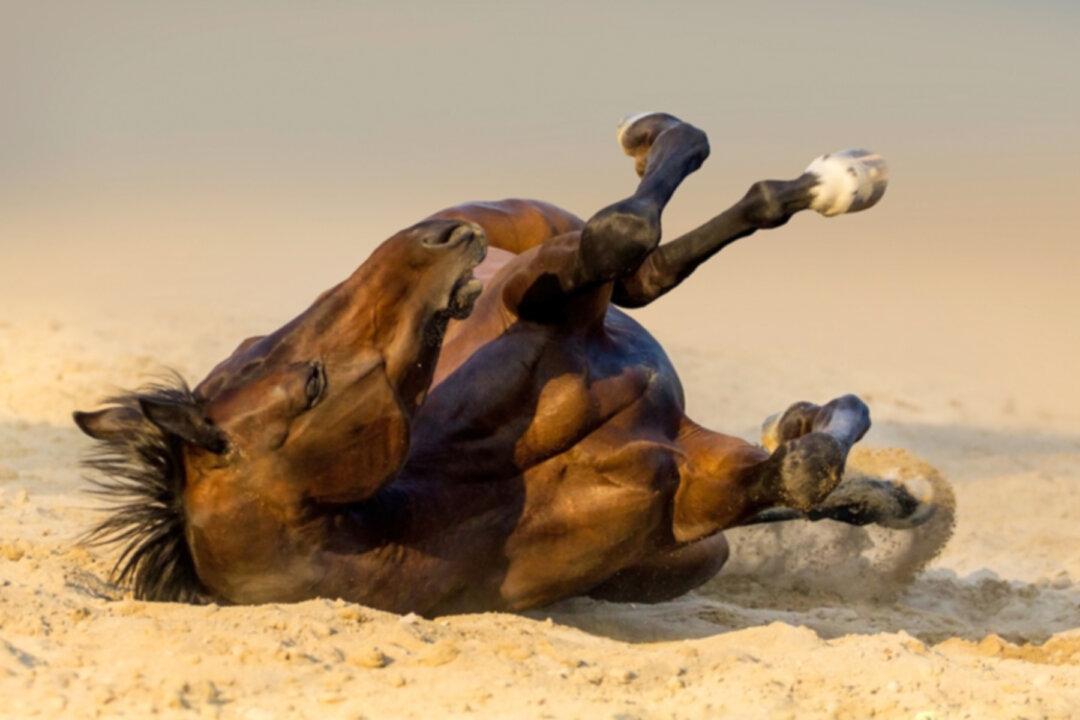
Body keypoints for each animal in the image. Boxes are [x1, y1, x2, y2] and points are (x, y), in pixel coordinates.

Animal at [74, 112, 916, 613]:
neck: (456, 492)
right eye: (311, 383)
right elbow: (799, 471)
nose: (436, 239)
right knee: (644, 264)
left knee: (647, 269)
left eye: (255, 348)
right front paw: (833, 444)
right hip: (692, 550)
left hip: (534, 230)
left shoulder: (535, 291)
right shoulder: (687, 494)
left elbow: (619, 238)